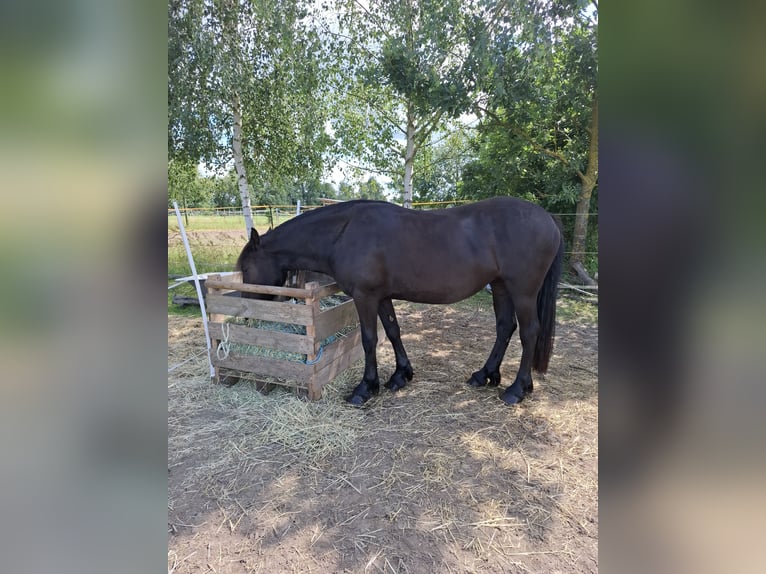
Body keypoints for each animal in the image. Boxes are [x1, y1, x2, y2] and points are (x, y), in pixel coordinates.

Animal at [237, 200, 568, 408]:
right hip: (500, 287)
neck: (343, 232)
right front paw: (400, 375)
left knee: (529, 332)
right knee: (504, 328)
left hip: (522, 291)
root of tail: (549, 219)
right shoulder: (381, 296)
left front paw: (365, 388)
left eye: (246, 268)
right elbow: (393, 332)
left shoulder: (365, 296)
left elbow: (370, 340)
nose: (245, 315)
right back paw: (484, 375)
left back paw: (517, 389)